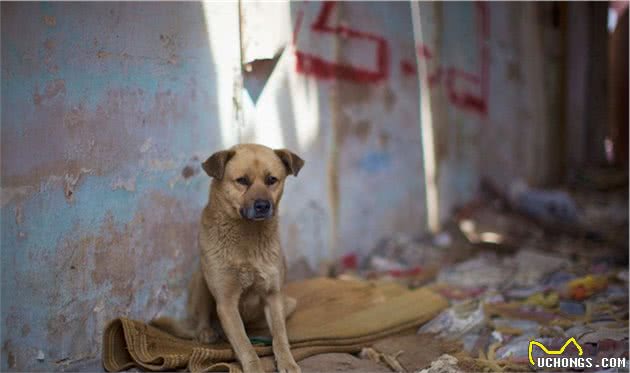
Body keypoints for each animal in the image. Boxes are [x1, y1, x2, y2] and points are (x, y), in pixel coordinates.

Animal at [151, 143, 304, 372]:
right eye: (242, 180)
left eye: (271, 180)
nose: (263, 205)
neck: (247, 237)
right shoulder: (226, 302)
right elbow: (244, 345)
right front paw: (254, 367)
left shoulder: (273, 295)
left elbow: (280, 336)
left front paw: (287, 361)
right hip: (201, 281)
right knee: (203, 320)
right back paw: (206, 332)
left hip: (289, 303)